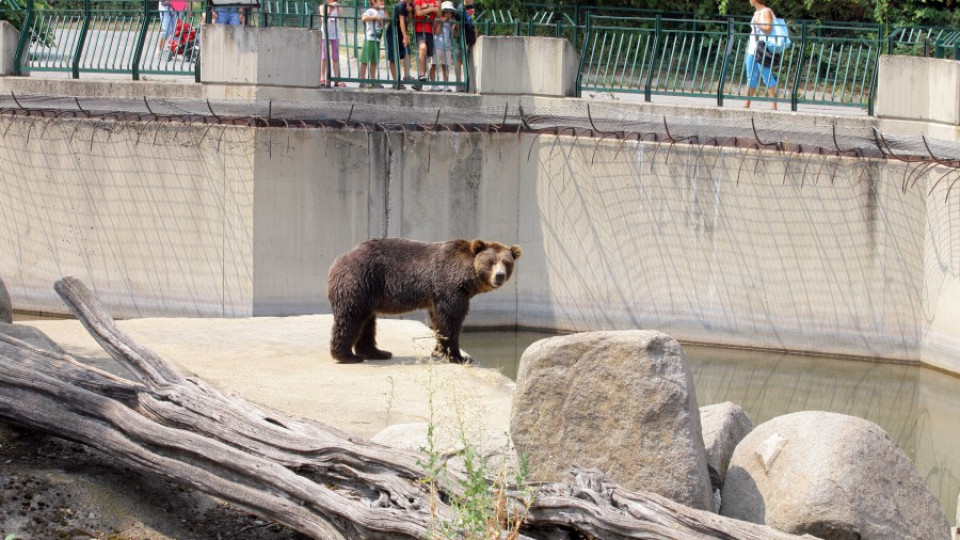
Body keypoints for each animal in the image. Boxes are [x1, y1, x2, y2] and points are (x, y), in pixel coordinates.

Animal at [326, 238, 520, 364]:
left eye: (506, 262)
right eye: (491, 262)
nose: (499, 276)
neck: (468, 279)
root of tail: (337, 262)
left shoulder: (436, 295)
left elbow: (437, 319)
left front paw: (438, 351)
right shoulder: (449, 286)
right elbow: (452, 319)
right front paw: (458, 356)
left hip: (369, 292)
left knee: (367, 322)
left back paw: (377, 352)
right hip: (360, 281)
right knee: (351, 318)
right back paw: (347, 356)